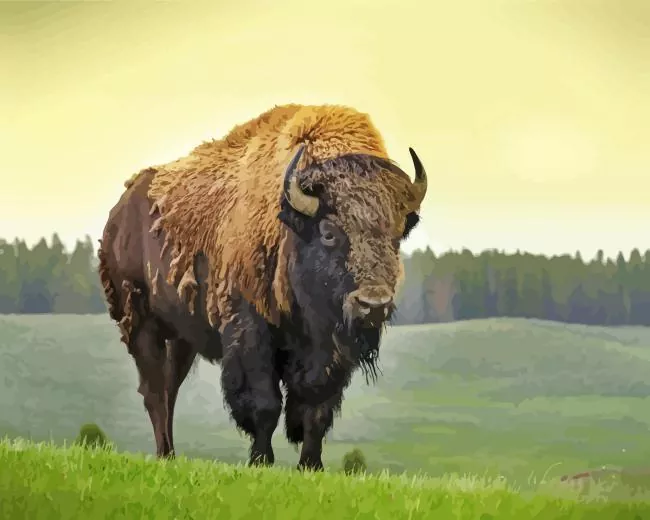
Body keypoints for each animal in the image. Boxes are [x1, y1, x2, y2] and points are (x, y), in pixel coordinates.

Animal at [98, 104, 427, 470]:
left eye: (397, 234)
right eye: (328, 232)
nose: (373, 304)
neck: (290, 225)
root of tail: (119, 213)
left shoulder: (328, 350)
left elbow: (316, 407)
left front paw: (310, 465)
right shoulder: (250, 331)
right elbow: (264, 403)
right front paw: (261, 460)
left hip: (182, 338)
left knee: (169, 389)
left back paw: (169, 456)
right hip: (142, 324)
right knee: (155, 391)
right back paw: (166, 454)